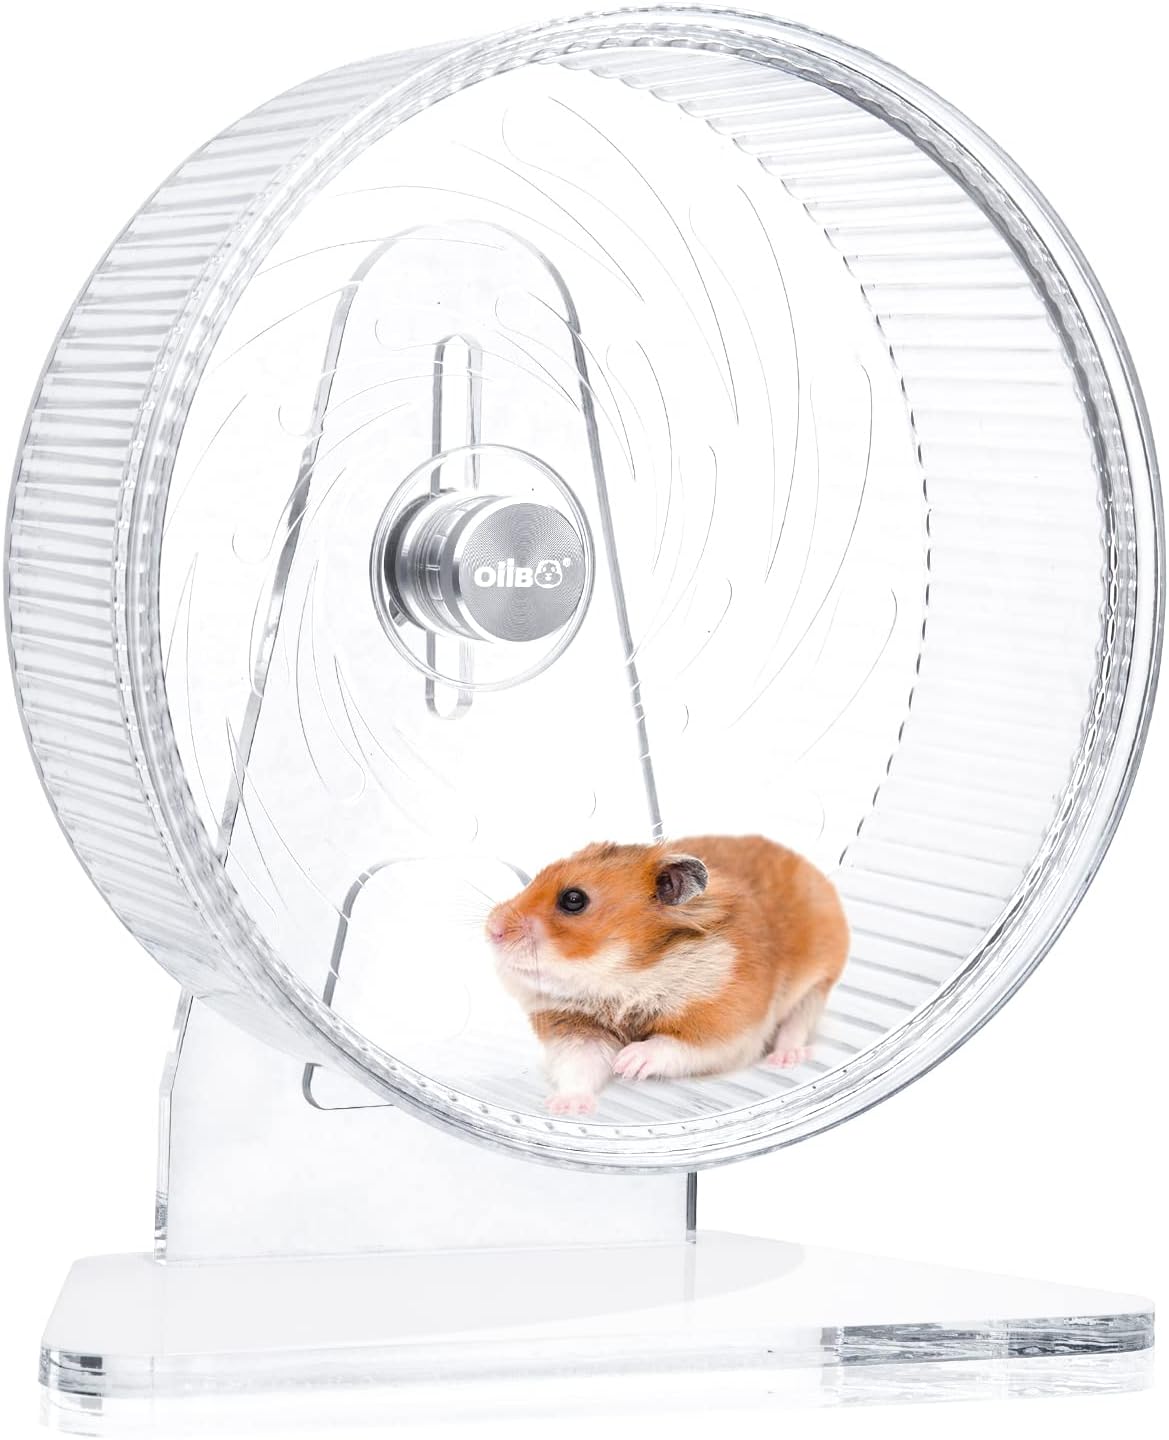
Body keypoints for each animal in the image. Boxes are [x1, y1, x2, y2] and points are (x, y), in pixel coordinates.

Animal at [485, 835, 849, 1114]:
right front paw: (565, 1108)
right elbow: (579, 1066)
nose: (491, 929)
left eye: (573, 899)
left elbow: (673, 1045)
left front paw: (627, 1062)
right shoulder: (575, 1026)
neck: (623, 976)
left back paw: (784, 1059)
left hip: (819, 980)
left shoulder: (727, 1025)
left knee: (798, 1023)